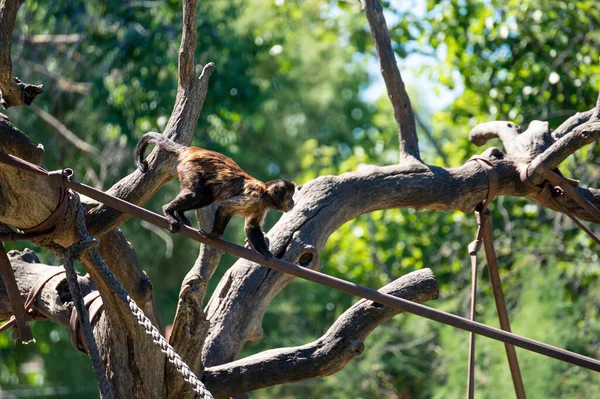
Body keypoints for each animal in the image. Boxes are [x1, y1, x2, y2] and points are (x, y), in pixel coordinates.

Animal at [137, 134, 296, 260]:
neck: (264, 194)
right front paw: (213, 235)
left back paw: (180, 213)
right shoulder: (254, 198)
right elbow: (225, 207)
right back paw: (168, 211)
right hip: (190, 167)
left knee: (204, 197)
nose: (293, 202)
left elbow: (251, 227)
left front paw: (265, 251)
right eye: (289, 196)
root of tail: (194, 150)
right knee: (196, 194)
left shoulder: (261, 207)